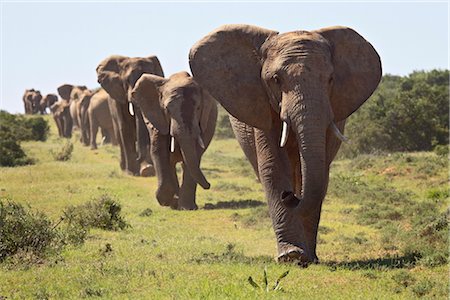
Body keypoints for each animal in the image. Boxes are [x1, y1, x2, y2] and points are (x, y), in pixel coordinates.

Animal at [131, 71, 217, 210]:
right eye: (167, 110)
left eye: (198, 108)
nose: (209, 185)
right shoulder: (158, 117)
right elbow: (159, 150)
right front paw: (165, 201)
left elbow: (195, 154)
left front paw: (187, 207)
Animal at [188, 24, 382, 262]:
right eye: (276, 79)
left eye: (330, 79)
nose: (289, 196)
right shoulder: (261, 104)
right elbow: (273, 167)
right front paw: (291, 255)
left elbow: (321, 170)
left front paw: (306, 258)